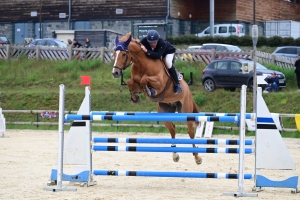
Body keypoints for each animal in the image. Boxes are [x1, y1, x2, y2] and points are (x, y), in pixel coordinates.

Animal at [110, 32, 202, 164]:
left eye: (123, 54)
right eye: (114, 53)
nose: (115, 73)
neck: (141, 63)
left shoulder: (159, 83)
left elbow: (145, 80)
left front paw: (149, 90)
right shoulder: (136, 84)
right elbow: (130, 81)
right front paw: (135, 98)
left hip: (186, 110)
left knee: (190, 132)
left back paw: (197, 157)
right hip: (165, 112)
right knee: (172, 129)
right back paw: (175, 155)